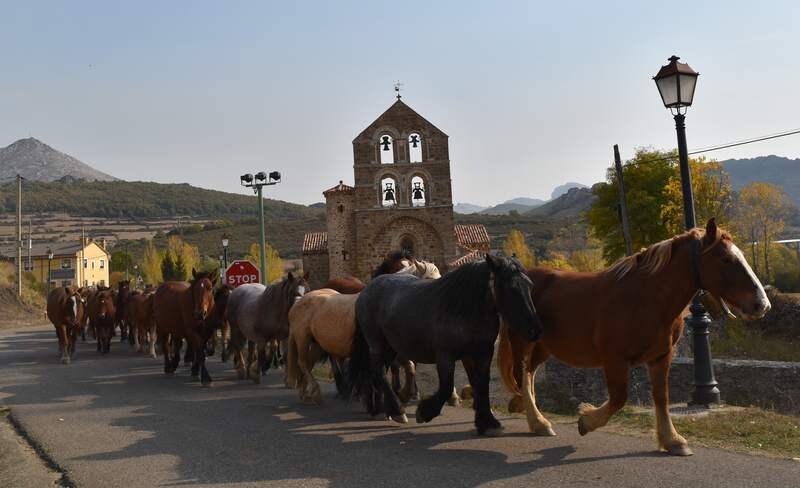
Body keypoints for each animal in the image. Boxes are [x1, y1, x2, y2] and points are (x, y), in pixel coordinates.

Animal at [346, 254, 540, 436]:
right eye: (511, 288)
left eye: (530, 285)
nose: (534, 330)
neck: (463, 309)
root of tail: (367, 289)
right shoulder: (445, 356)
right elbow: (446, 387)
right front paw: (425, 412)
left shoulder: (481, 354)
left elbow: (481, 386)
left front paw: (488, 423)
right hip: (378, 344)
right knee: (377, 371)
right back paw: (396, 411)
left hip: (390, 348)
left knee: (376, 372)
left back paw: (381, 409)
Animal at [500, 219, 768, 456]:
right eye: (726, 259)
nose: (762, 304)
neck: (644, 299)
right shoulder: (614, 359)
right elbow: (619, 399)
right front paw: (586, 420)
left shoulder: (661, 356)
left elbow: (661, 397)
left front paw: (672, 440)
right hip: (523, 340)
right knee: (523, 375)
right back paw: (538, 421)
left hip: (544, 346)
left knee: (530, 374)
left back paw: (527, 410)